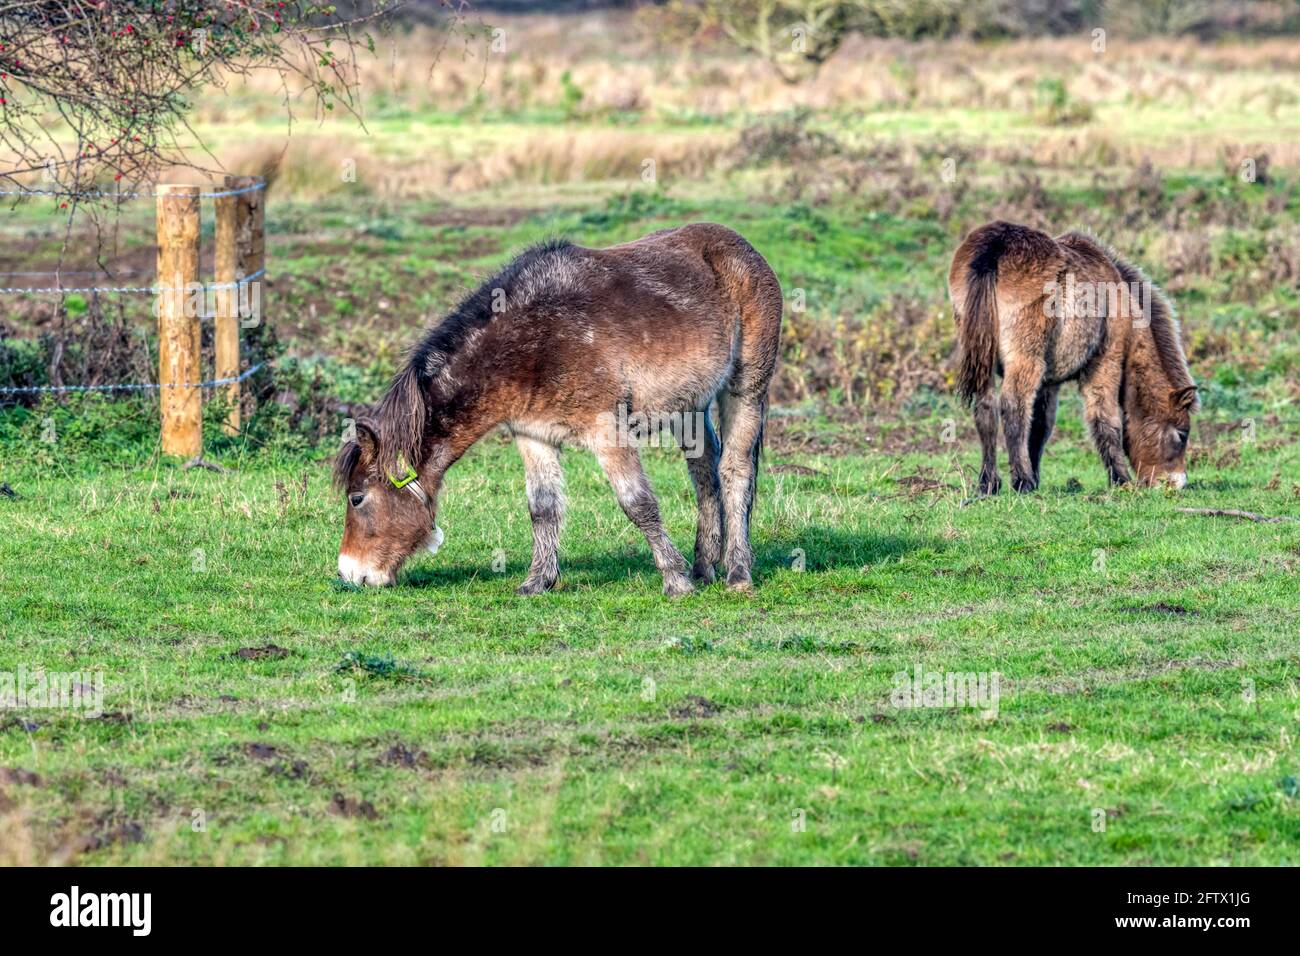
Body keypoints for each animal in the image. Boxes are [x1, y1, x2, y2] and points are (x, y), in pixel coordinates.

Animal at [334, 223, 784, 595]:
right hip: (689, 407)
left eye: (357, 498)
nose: (351, 573)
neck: (534, 341)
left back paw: (736, 573)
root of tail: (743, 249)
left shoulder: (608, 432)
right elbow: (542, 508)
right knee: (704, 472)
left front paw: (675, 581)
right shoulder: (534, 436)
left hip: (745, 390)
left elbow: (638, 503)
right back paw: (705, 568)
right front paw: (538, 581)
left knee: (734, 471)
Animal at [949, 220, 1198, 494]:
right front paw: (1120, 480)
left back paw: (989, 482)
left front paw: (1036, 477)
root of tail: (995, 248)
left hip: (984, 359)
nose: (1177, 483)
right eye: (1182, 434)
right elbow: (1105, 419)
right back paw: (1021, 480)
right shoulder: (1105, 363)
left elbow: (1040, 427)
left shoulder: (1049, 383)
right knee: (1013, 406)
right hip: (1025, 359)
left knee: (985, 407)